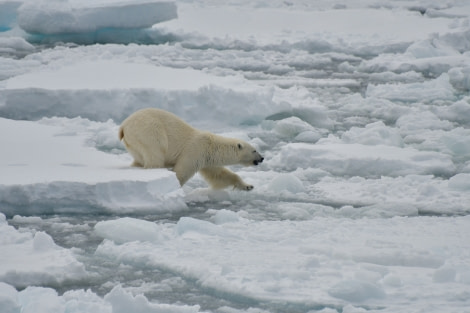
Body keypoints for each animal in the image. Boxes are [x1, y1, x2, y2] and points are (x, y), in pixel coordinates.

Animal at [118, 107, 264, 190]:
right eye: (254, 150)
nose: (262, 158)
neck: (212, 145)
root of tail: (124, 126)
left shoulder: (207, 159)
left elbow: (220, 175)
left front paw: (248, 185)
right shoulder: (195, 151)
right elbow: (182, 172)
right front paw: (176, 187)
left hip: (134, 143)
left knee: (139, 159)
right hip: (148, 131)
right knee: (156, 155)